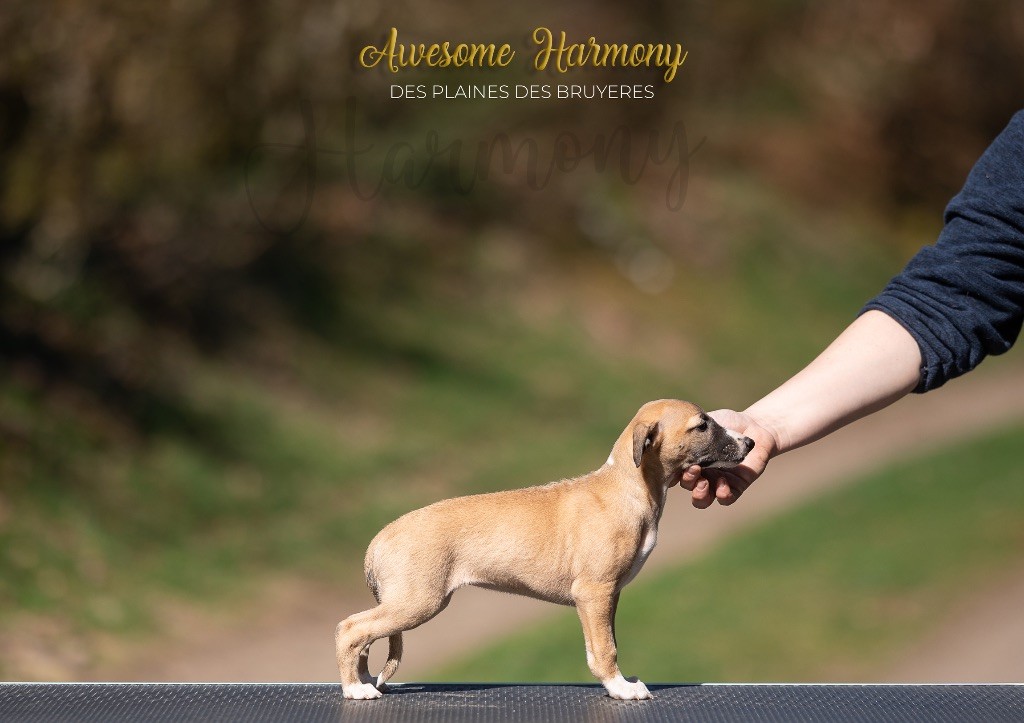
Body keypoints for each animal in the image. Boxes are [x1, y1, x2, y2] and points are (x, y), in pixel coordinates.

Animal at [335, 399, 754, 700]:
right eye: (702, 425)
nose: (749, 442)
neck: (628, 487)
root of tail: (379, 541)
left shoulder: (604, 597)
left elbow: (599, 645)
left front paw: (613, 683)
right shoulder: (594, 591)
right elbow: (607, 649)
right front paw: (621, 688)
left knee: (364, 637)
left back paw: (364, 681)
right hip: (417, 601)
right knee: (350, 629)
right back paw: (355, 689)